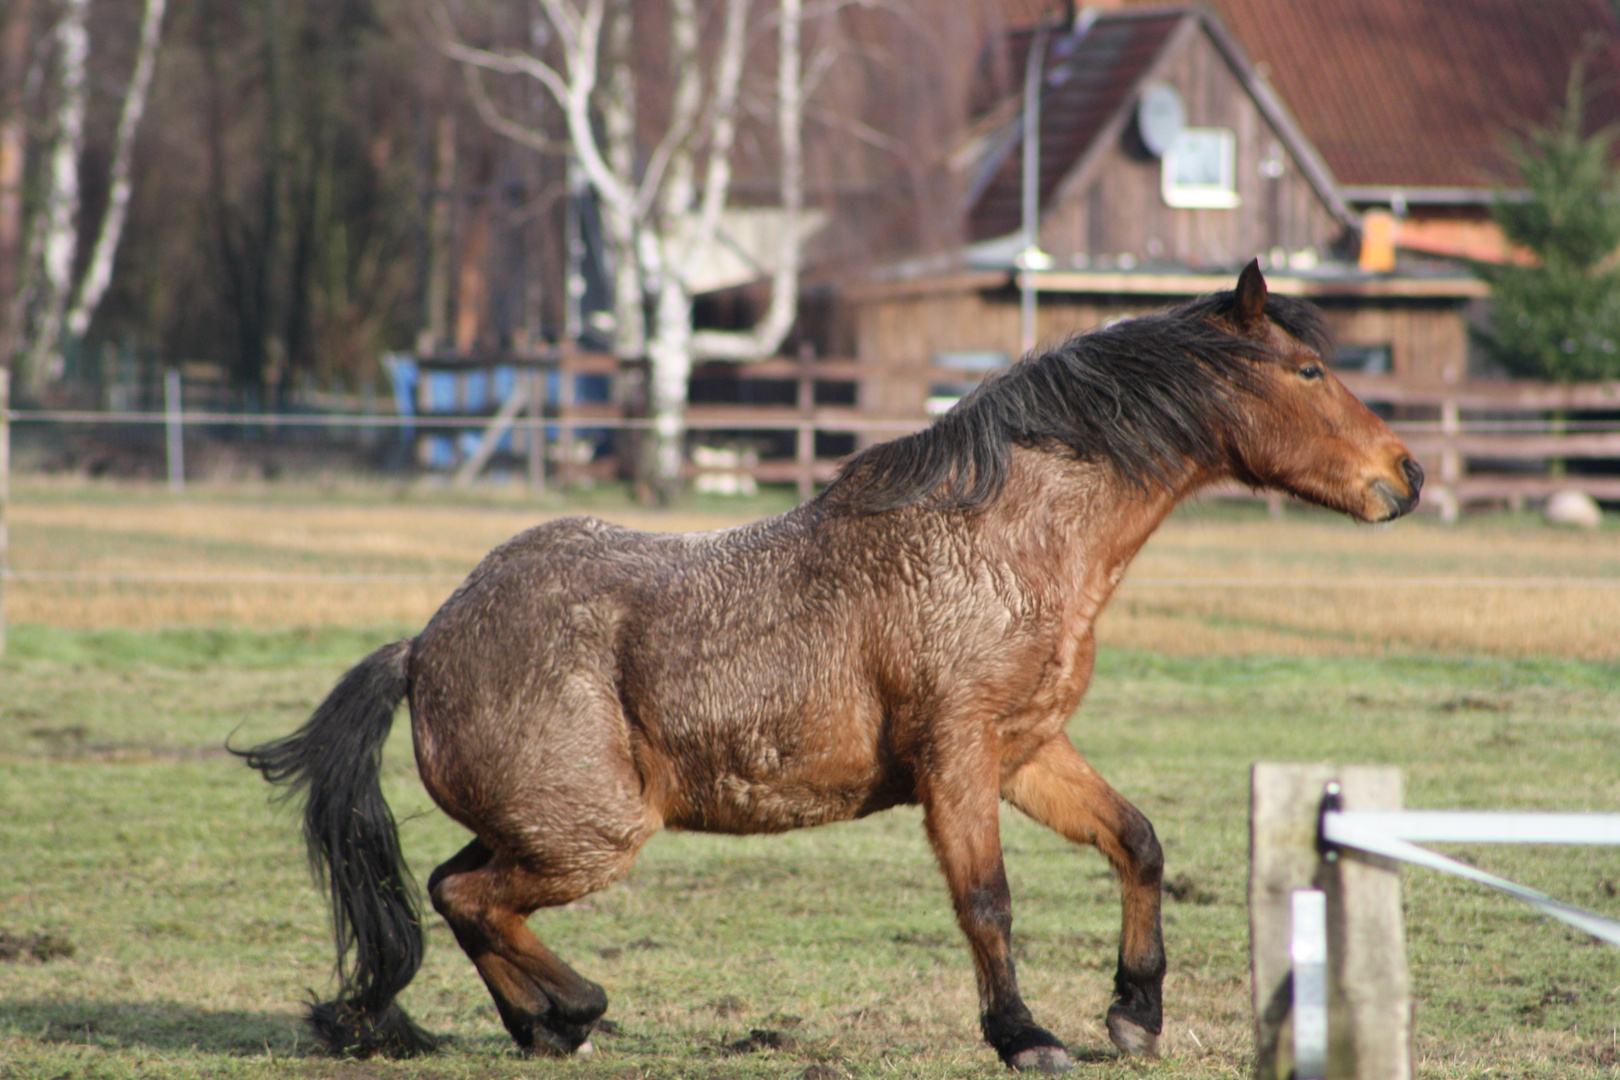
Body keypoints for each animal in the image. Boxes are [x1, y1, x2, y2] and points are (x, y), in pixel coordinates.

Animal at [236, 263, 1419, 1075]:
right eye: (1310, 370)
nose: (1404, 476)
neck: (1003, 541)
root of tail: (426, 644)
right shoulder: (956, 759)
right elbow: (986, 900)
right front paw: (1025, 1033)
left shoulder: (1026, 750)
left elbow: (1136, 842)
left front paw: (1135, 1011)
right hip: (592, 837)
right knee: (473, 896)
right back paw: (573, 1006)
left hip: (545, 827)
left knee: (452, 889)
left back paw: (545, 1021)